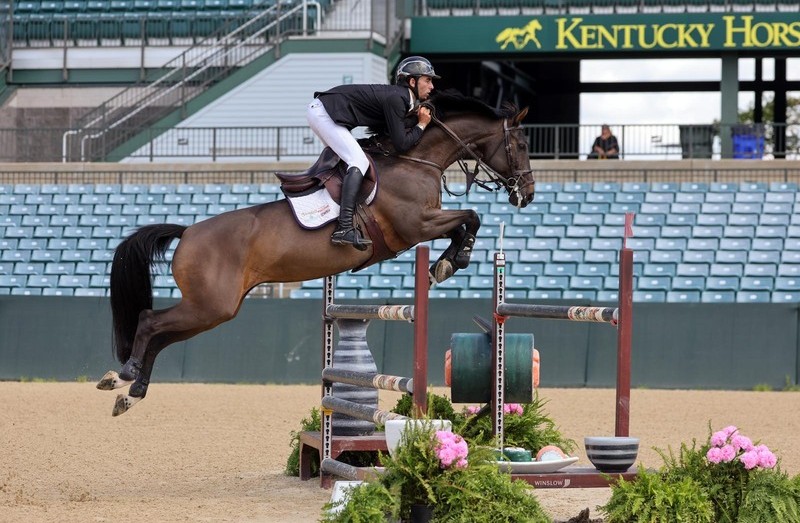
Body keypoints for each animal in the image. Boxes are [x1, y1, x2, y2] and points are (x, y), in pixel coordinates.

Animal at [97, 91, 535, 416]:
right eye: (521, 144)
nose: (527, 195)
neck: (416, 159)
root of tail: (188, 231)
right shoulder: (416, 226)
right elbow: (471, 216)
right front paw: (450, 261)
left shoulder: (424, 225)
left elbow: (465, 222)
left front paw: (447, 263)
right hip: (209, 305)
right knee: (150, 322)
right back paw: (123, 375)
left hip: (216, 309)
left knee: (162, 335)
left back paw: (131, 391)